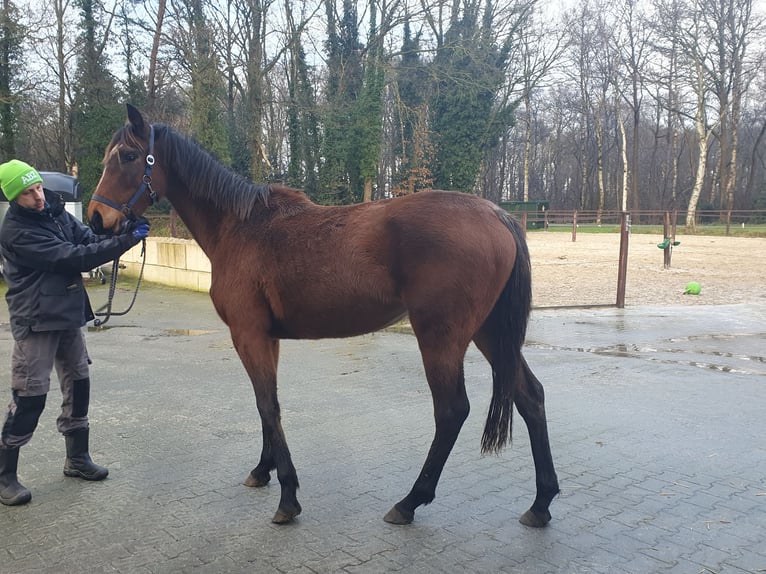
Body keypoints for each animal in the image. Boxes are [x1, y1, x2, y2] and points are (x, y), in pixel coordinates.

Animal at [87, 106, 560, 528]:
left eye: (127, 156)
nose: (96, 219)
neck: (240, 228)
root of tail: (496, 214)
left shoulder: (248, 334)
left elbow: (267, 404)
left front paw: (288, 497)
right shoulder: (266, 337)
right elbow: (268, 406)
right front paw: (263, 471)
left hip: (441, 338)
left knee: (451, 411)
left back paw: (409, 502)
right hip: (490, 333)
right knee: (531, 396)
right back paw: (540, 504)